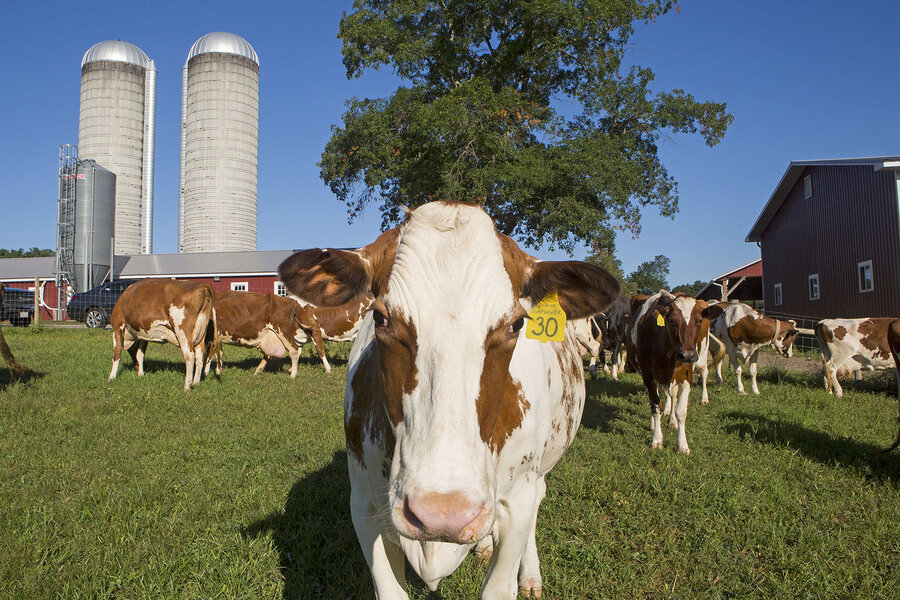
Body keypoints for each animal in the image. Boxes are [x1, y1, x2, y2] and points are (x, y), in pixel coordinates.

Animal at [278, 203, 624, 600]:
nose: (443, 514)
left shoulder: (517, 501)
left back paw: (530, 574)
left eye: (516, 324)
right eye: (380, 317)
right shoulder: (364, 505)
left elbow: (500, 581)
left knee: (539, 497)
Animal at [624, 292, 724, 454]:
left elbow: (681, 411)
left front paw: (682, 444)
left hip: (700, 359)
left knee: (700, 376)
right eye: (672, 321)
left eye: (699, 320)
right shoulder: (648, 375)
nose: (688, 355)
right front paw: (657, 439)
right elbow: (656, 407)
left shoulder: (687, 376)